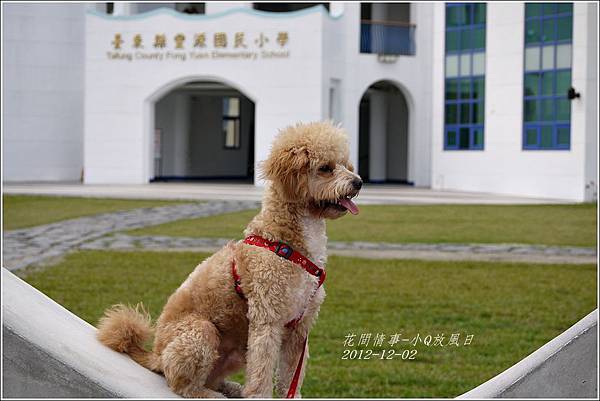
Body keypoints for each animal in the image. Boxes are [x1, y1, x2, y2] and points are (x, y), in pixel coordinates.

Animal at [96, 121, 362, 398]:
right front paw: (259, 396)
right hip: (200, 333)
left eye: (346, 164)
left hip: (236, 351)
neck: (288, 245)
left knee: (212, 378)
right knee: (181, 384)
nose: (359, 182)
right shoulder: (267, 321)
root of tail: (155, 356)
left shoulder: (300, 327)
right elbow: (261, 375)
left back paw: (231, 388)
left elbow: (291, 378)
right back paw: (209, 394)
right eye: (325, 168)